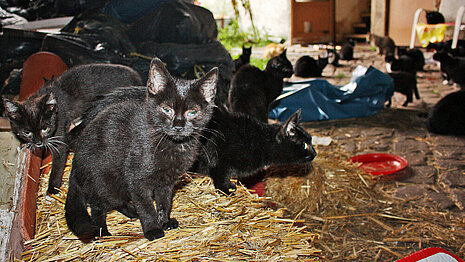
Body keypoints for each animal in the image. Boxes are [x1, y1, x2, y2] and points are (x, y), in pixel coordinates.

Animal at [63, 58, 218, 243]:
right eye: (167, 109)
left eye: (192, 112)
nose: (178, 126)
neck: (171, 145)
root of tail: (76, 160)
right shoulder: (137, 180)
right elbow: (146, 207)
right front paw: (153, 229)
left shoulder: (167, 182)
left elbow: (164, 202)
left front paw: (164, 221)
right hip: (103, 181)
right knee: (98, 205)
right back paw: (102, 231)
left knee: (118, 201)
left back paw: (131, 212)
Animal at [188, 107, 316, 195]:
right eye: (305, 145)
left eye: (311, 141)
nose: (315, 153)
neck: (261, 142)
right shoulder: (221, 162)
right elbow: (220, 178)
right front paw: (226, 191)